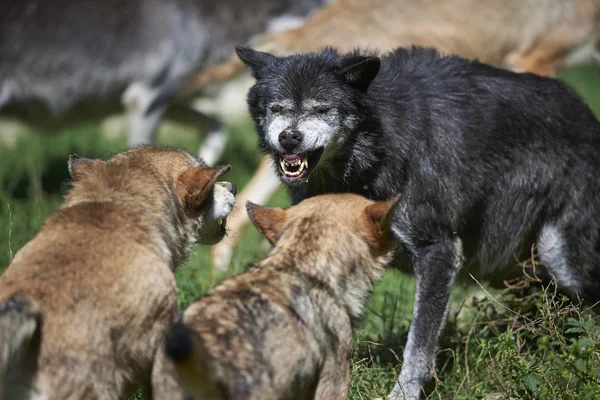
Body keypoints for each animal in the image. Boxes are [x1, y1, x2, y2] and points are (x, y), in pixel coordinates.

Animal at [237, 45, 600, 398]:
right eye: (276, 108)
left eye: (322, 110)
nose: (289, 137)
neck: (374, 146)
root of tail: (587, 113)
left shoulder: (437, 250)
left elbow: (418, 346)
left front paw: (403, 393)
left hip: (557, 256)